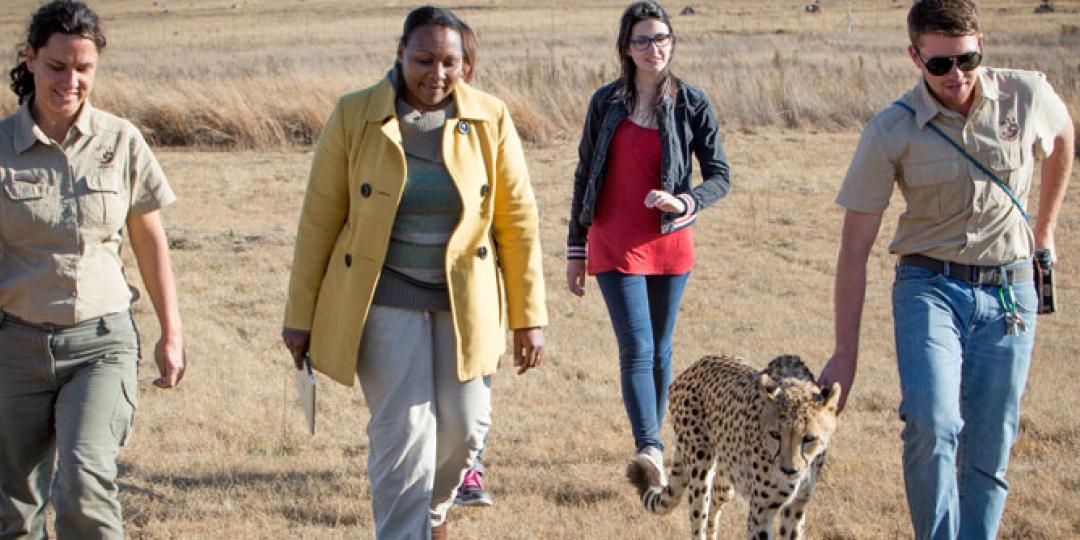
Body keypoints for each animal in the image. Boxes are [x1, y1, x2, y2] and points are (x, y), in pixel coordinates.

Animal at [626, 354, 842, 540]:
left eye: (809, 438)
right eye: (775, 434)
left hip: (727, 480)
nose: (789, 470)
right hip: (700, 469)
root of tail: (698, 363)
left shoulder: (796, 507)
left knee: (713, 508)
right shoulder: (761, 511)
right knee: (699, 517)